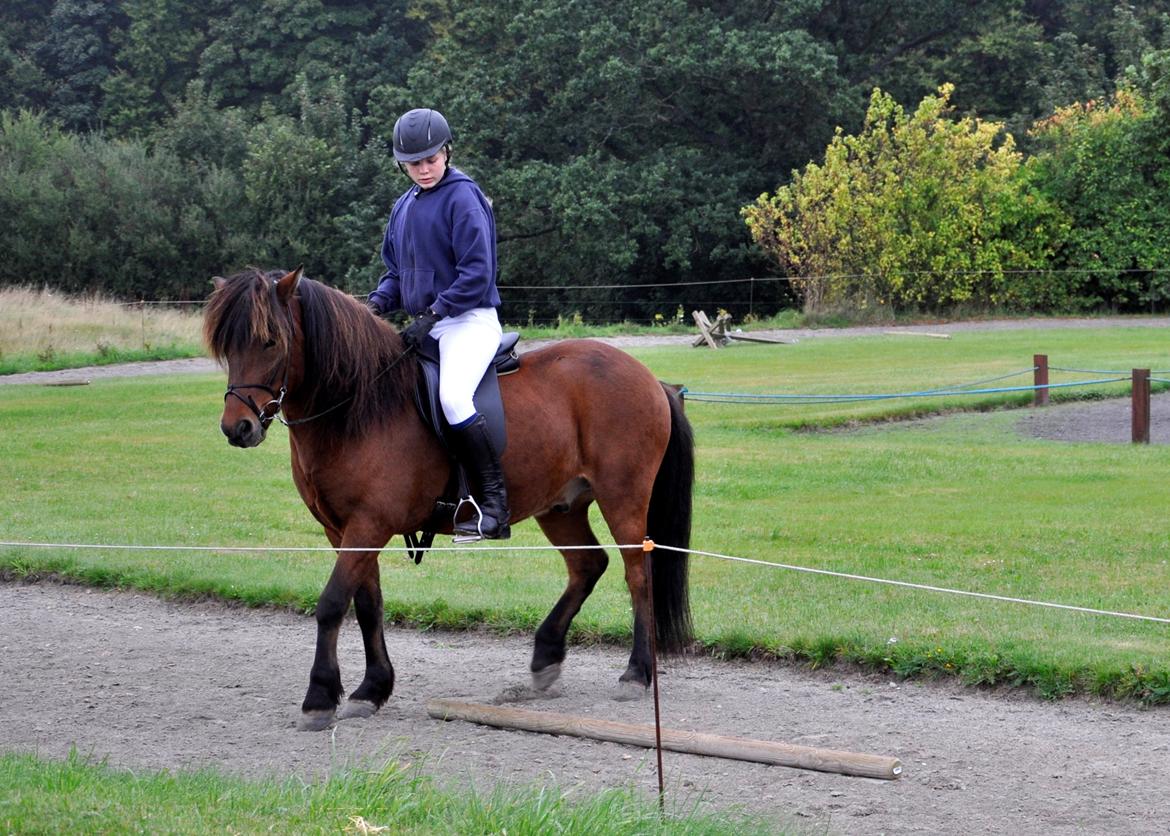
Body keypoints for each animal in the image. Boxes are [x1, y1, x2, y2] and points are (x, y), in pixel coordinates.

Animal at [203, 267, 695, 731]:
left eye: (270, 341)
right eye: (226, 347)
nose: (237, 428)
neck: (362, 404)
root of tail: (649, 378)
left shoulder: (369, 524)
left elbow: (331, 604)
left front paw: (319, 698)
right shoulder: (342, 529)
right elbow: (367, 605)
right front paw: (371, 689)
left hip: (623, 497)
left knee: (638, 576)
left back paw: (636, 673)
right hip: (562, 506)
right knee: (588, 566)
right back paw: (546, 657)